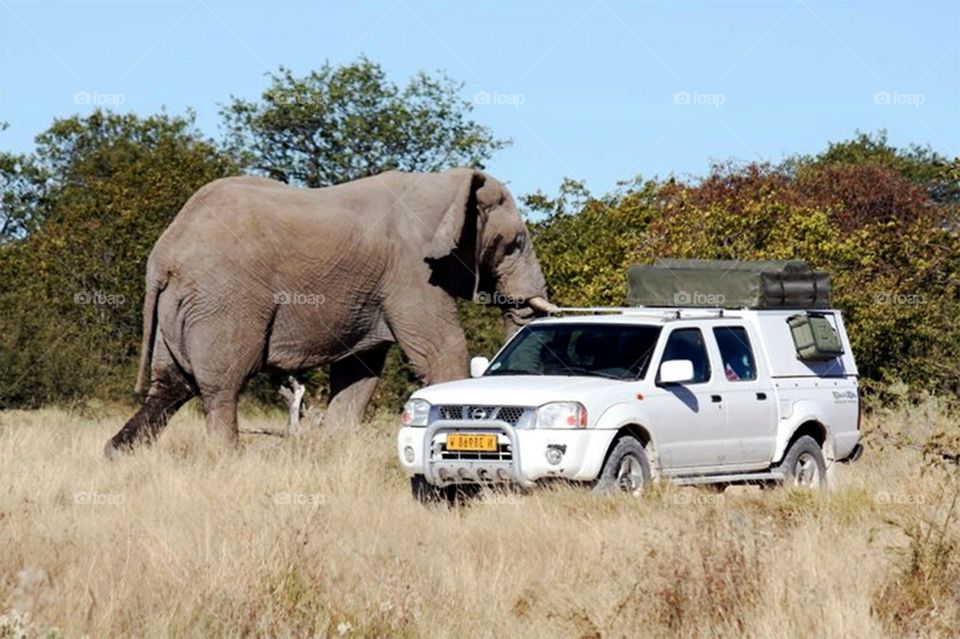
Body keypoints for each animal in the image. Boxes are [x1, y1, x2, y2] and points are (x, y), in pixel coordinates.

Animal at [104, 168, 552, 456]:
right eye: (513, 245)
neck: (445, 183)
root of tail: (163, 256)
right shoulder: (411, 271)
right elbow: (440, 349)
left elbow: (360, 370)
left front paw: (336, 448)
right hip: (222, 300)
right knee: (220, 385)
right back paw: (227, 457)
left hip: (179, 306)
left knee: (171, 385)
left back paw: (118, 453)